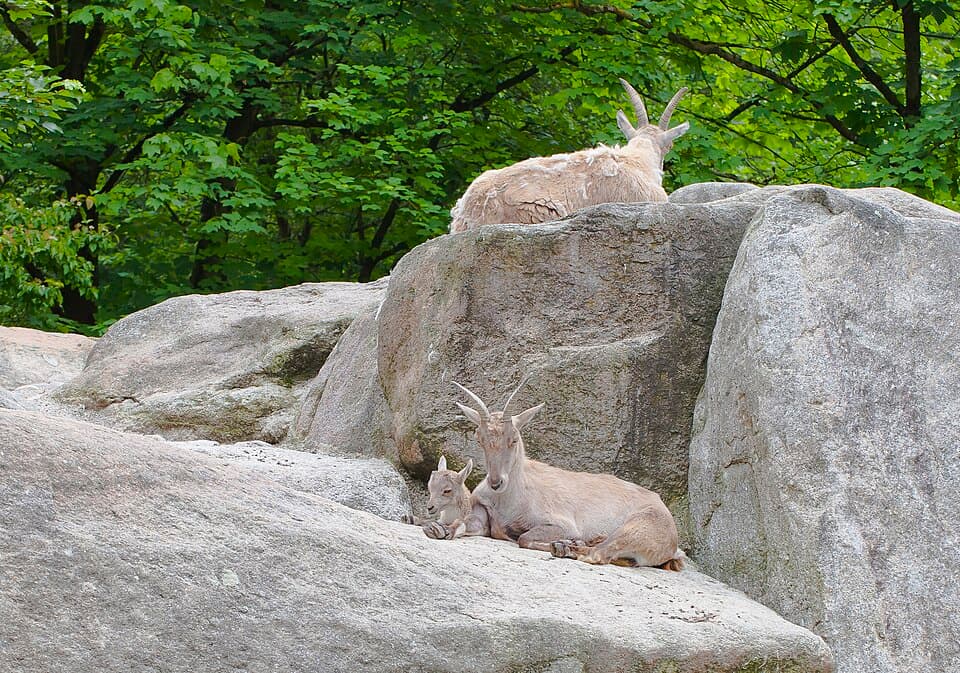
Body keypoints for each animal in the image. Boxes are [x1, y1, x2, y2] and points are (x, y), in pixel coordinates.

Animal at [429, 381, 684, 571]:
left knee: (597, 554)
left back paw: (567, 547)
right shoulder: (482, 512)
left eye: (514, 439)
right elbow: (464, 523)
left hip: (638, 528)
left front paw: (565, 541)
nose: (495, 482)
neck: (512, 498)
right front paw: (439, 529)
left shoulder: (561, 523)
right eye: (480, 439)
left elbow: (524, 538)